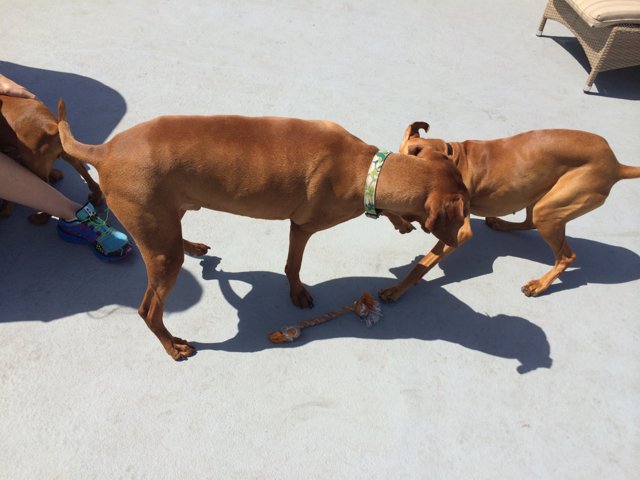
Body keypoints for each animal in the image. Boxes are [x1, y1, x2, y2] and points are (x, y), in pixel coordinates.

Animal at [0, 95, 101, 223]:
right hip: (68, 154)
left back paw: (39, 218)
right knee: (90, 181)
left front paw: (5, 209)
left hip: (34, 166)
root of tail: (52, 126)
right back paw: (96, 198)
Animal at [57, 98, 468, 360]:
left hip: (166, 221)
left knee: (176, 239)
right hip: (160, 253)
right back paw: (173, 346)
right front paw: (298, 293)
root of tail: (104, 151)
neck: (366, 169)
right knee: (148, 311)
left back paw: (193, 248)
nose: (464, 236)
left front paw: (399, 220)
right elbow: (293, 265)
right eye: (463, 206)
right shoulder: (302, 226)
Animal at [380, 123, 640, 304]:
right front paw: (400, 222)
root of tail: (617, 165)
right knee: (529, 222)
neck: (453, 154)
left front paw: (396, 290)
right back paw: (500, 224)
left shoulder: (459, 231)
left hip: (551, 207)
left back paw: (539, 285)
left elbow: (421, 265)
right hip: (541, 198)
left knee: (566, 256)